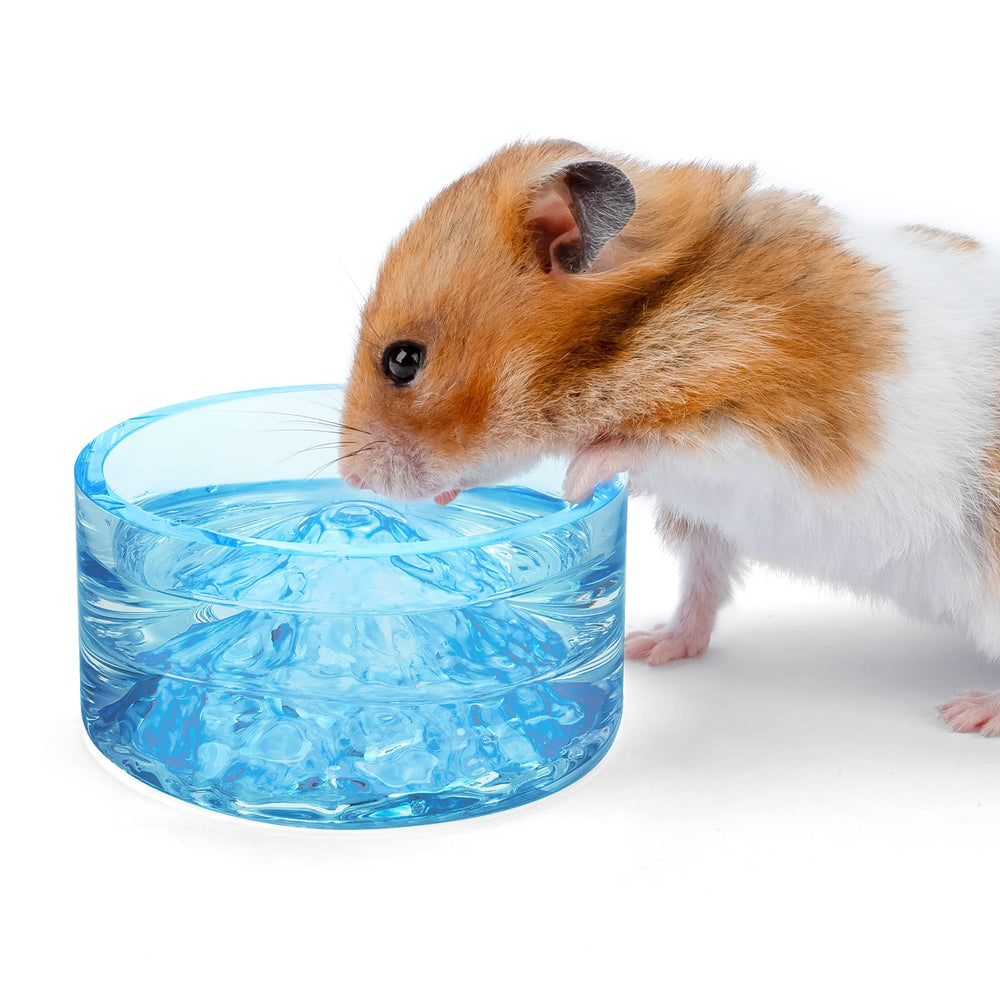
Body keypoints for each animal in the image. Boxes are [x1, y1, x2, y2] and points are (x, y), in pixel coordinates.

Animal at [339, 138, 1000, 737]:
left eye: (403, 360)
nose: (349, 478)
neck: (641, 323)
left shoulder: (767, 434)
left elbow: (643, 447)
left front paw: (574, 485)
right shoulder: (710, 513)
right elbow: (703, 577)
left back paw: (965, 714)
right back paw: (650, 644)